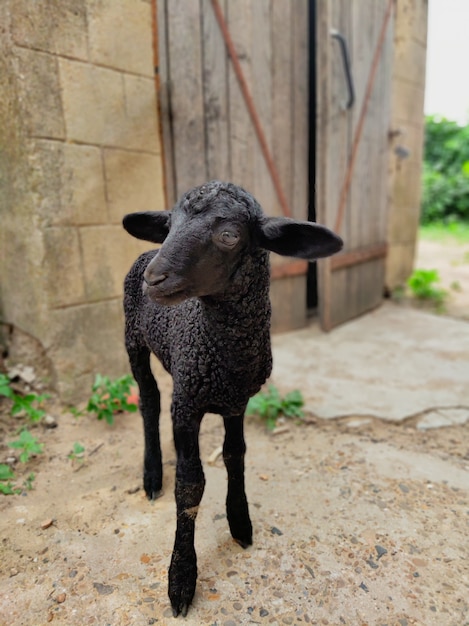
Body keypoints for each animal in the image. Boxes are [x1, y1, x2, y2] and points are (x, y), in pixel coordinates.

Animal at [121, 180, 340, 616]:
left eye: (228, 235)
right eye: (169, 225)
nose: (154, 279)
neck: (221, 352)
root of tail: (145, 253)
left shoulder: (237, 400)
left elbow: (235, 455)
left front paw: (240, 522)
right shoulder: (187, 402)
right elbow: (190, 485)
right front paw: (180, 579)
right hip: (132, 339)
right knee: (150, 400)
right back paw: (152, 474)